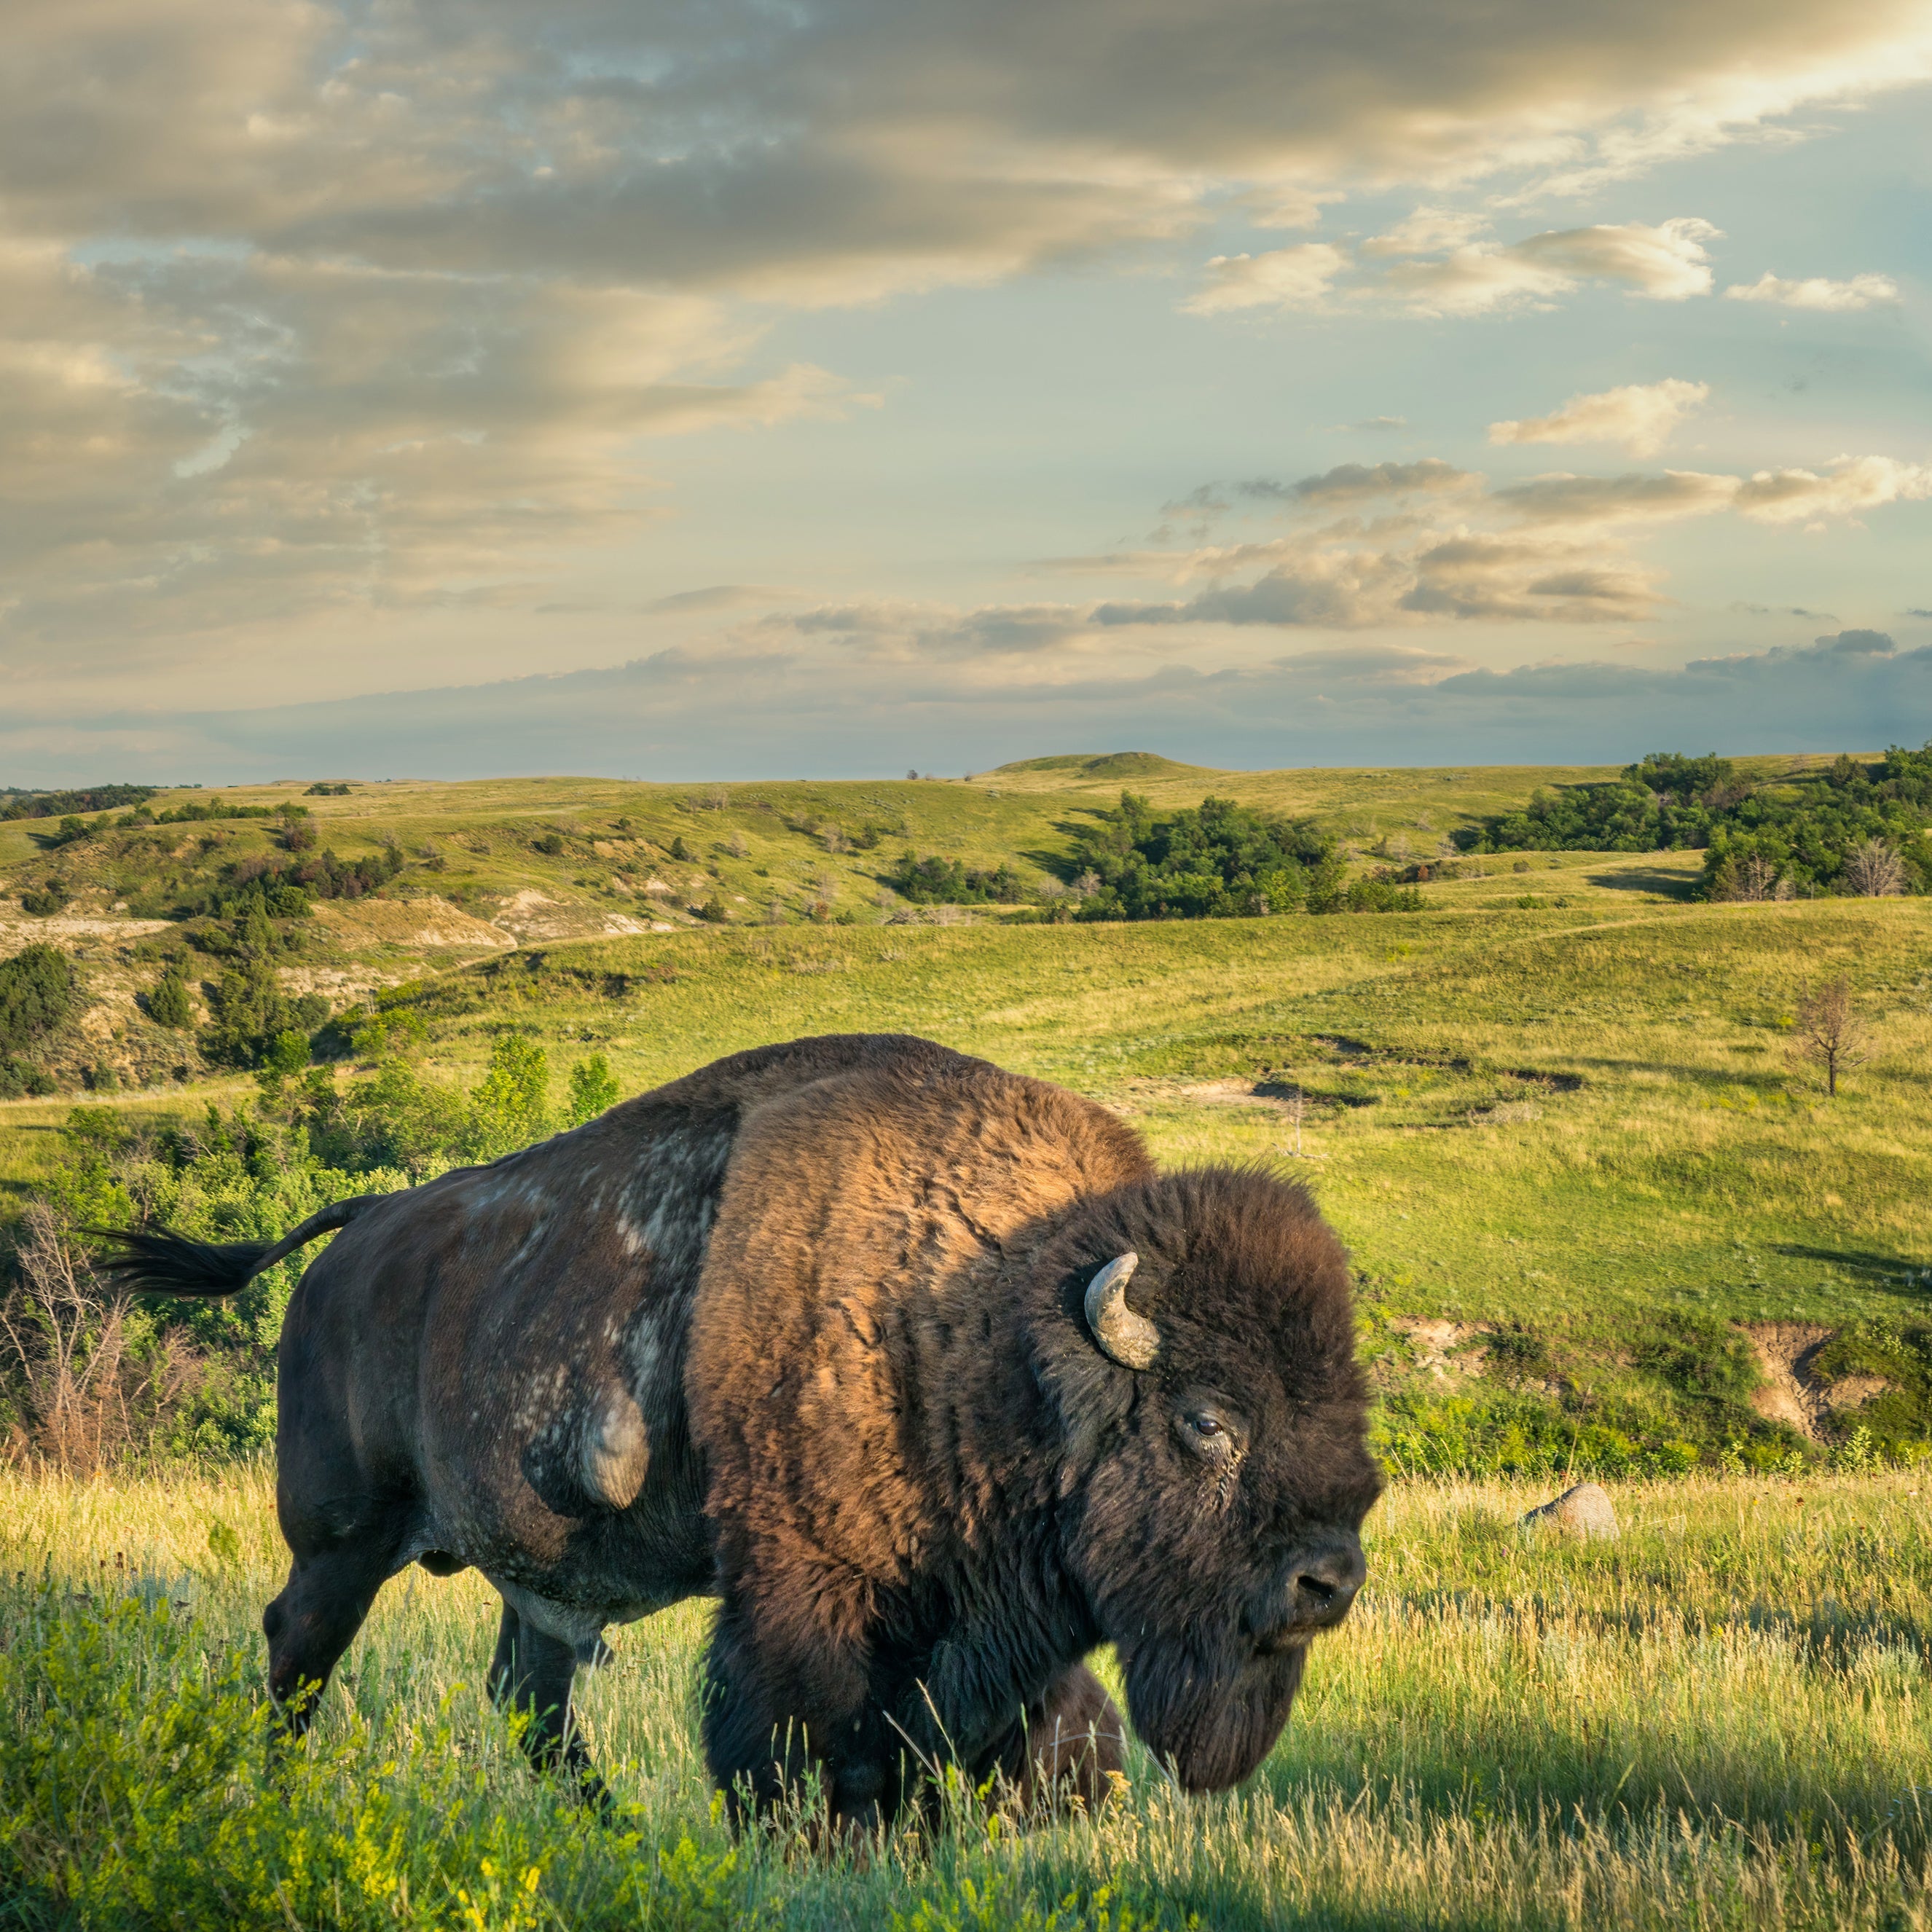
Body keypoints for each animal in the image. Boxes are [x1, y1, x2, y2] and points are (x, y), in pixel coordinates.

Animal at [108, 1033, 1379, 1831]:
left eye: (1347, 1402)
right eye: (1207, 1419)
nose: (1328, 1582)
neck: (982, 1321)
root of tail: (363, 1228)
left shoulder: (978, 1627)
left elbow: (1011, 1750)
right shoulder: (806, 1594)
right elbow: (805, 1743)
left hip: (537, 1579)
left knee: (530, 1703)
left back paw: (615, 1836)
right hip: (344, 1539)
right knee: (298, 1651)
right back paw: (270, 1798)